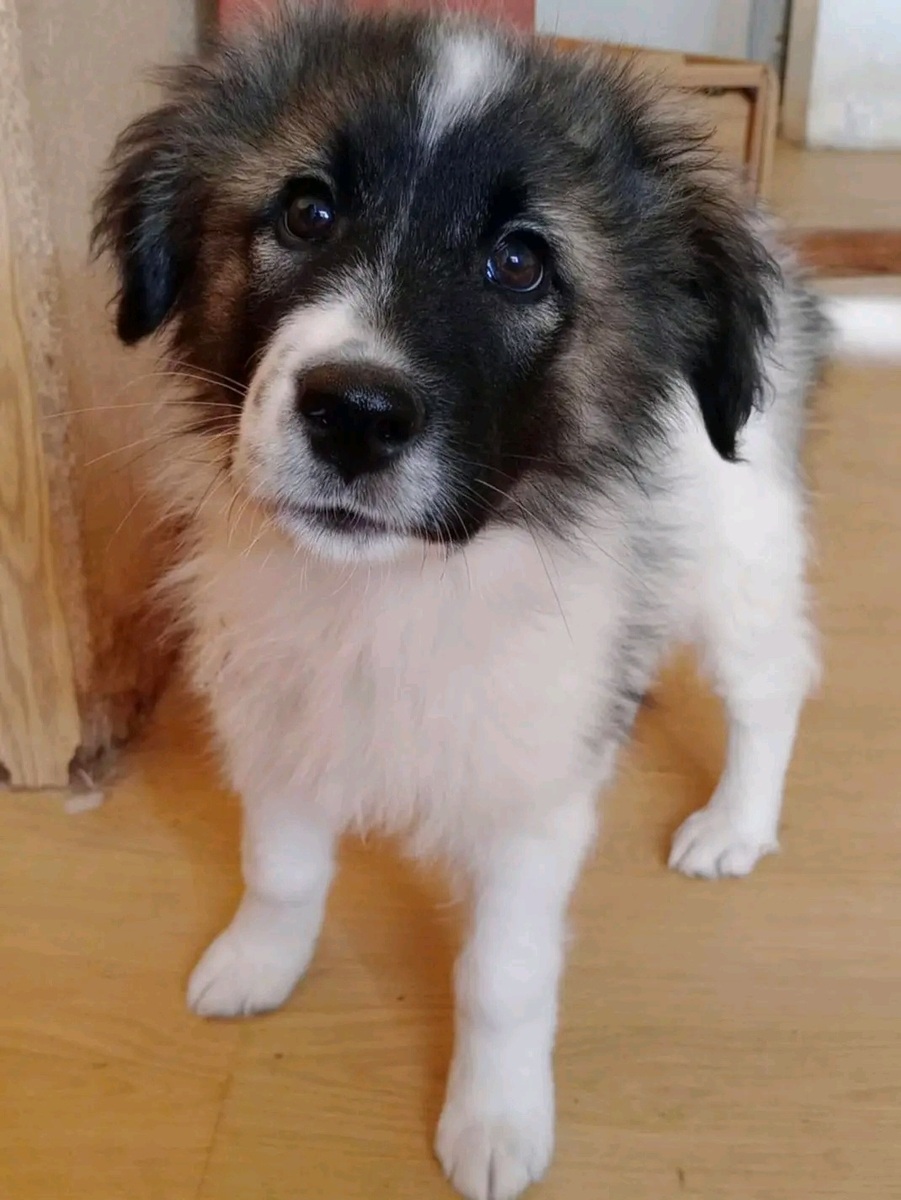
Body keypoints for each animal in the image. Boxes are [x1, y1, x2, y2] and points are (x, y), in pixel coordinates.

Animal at [94, 8, 838, 1197]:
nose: (354, 414)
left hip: (743, 556)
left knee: (771, 688)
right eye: (306, 212)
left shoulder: (528, 801)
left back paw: (736, 822)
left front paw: (493, 1120)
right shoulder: (279, 713)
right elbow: (281, 868)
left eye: (520, 263)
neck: (393, 590)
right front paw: (257, 962)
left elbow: (503, 975)